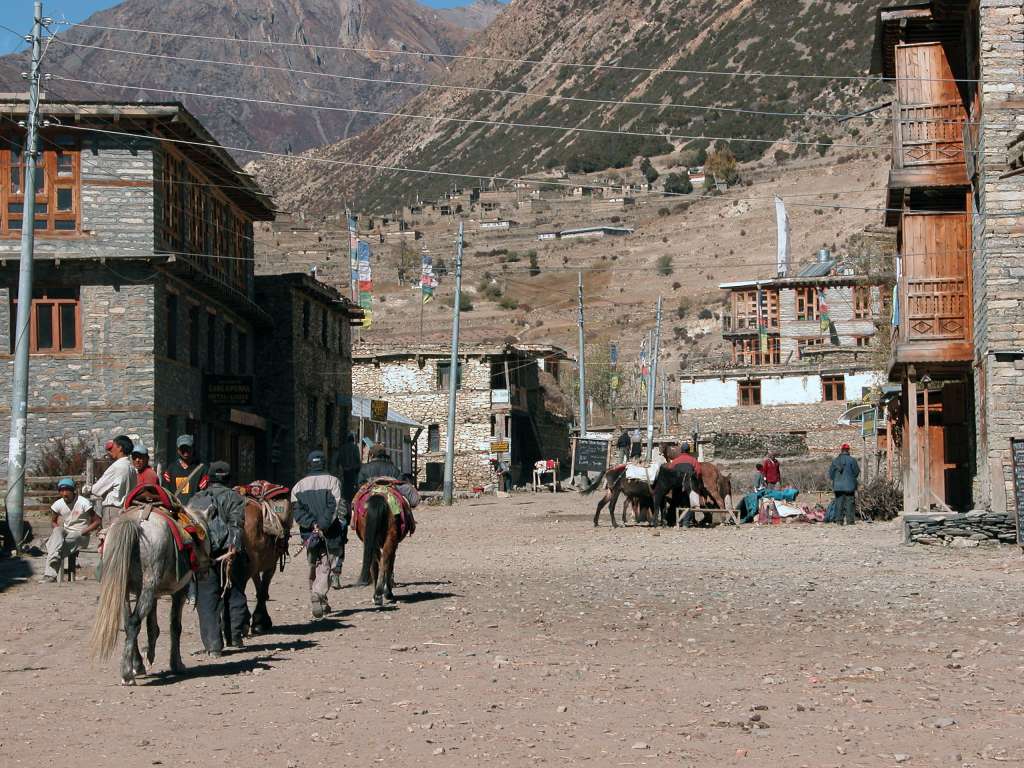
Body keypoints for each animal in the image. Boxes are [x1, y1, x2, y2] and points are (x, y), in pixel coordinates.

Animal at [90, 487, 201, 684]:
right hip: (149, 585)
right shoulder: (179, 591)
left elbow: (151, 625)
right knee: (134, 621)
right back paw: (127, 674)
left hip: (125, 588)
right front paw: (176, 664)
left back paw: (135, 665)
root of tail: (136, 521)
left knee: (128, 622)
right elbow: (174, 626)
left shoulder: (150, 593)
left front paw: (146, 658)